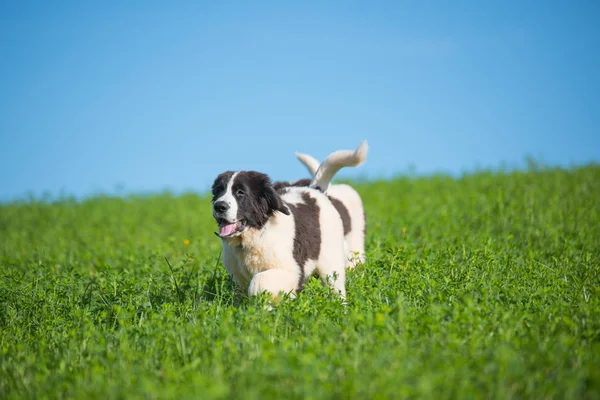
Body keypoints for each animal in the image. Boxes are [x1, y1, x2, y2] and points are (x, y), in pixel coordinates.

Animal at [213, 141, 368, 300]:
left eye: (240, 192)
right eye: (218, 191)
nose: (219, 206)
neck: (256, 235)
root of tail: (315, 190)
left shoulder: (292, 270)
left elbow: (259, 280)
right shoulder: (238, 276)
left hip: (331, 259)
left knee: (335, 285)